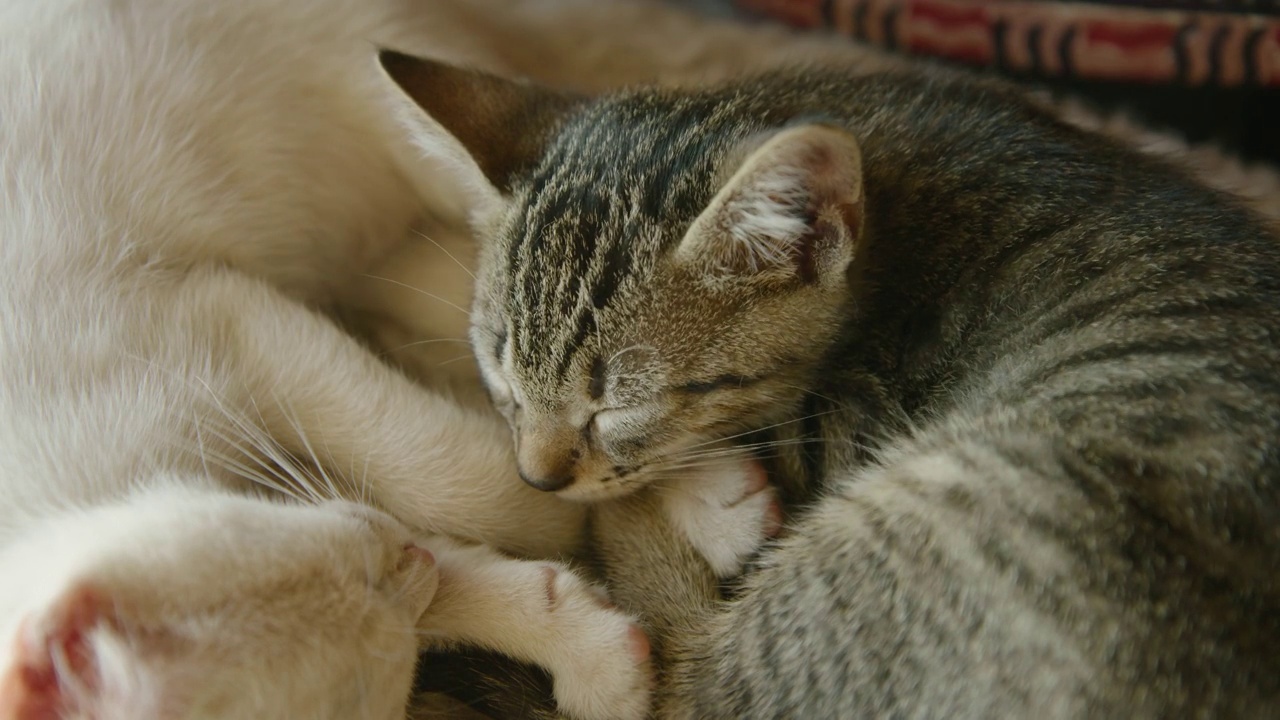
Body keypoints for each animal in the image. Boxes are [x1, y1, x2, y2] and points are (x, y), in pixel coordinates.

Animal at [0, 1, 650, 717]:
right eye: (391, 680)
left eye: (278, 545)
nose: (400, 552)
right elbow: (441, 568)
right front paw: (576, 639)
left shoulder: (218, 309)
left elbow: (449, 476)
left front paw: (549, 491)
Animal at [389, 53, 1280, 712]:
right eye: (501, 373)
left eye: (618, 405)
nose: (536, 478)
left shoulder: (852, 412)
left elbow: (658, 470)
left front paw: (712, 493)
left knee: (683, 685)